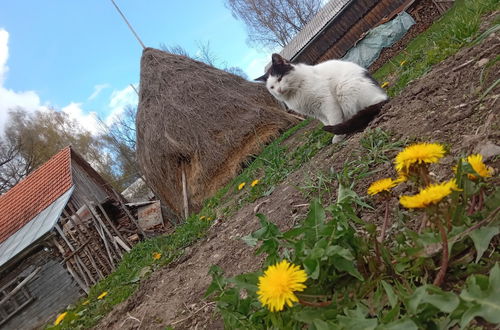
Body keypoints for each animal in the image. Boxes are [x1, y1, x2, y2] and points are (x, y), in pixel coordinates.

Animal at [256, 53, 388, 142]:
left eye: (280, 78)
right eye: (272, 87)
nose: (278, 90)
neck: (296, 93)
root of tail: (383, 95)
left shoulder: (327, 103)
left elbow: (334, 119)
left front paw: (338, 136)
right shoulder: (317, 113)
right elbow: (327, 122)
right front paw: (336, 131)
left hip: (344, 89)